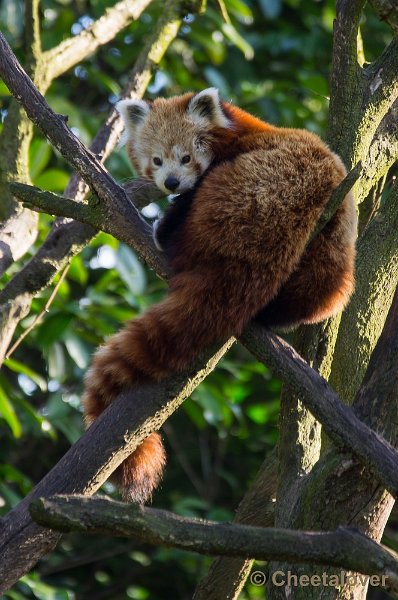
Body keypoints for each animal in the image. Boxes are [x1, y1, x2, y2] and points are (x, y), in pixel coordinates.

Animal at [83, 86, 358, 504]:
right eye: (157, 160)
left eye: (186, 157)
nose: (172, 183)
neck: (236, 127)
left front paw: (167, 221)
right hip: (331, 266)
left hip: (244, 195)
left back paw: (168, 238)